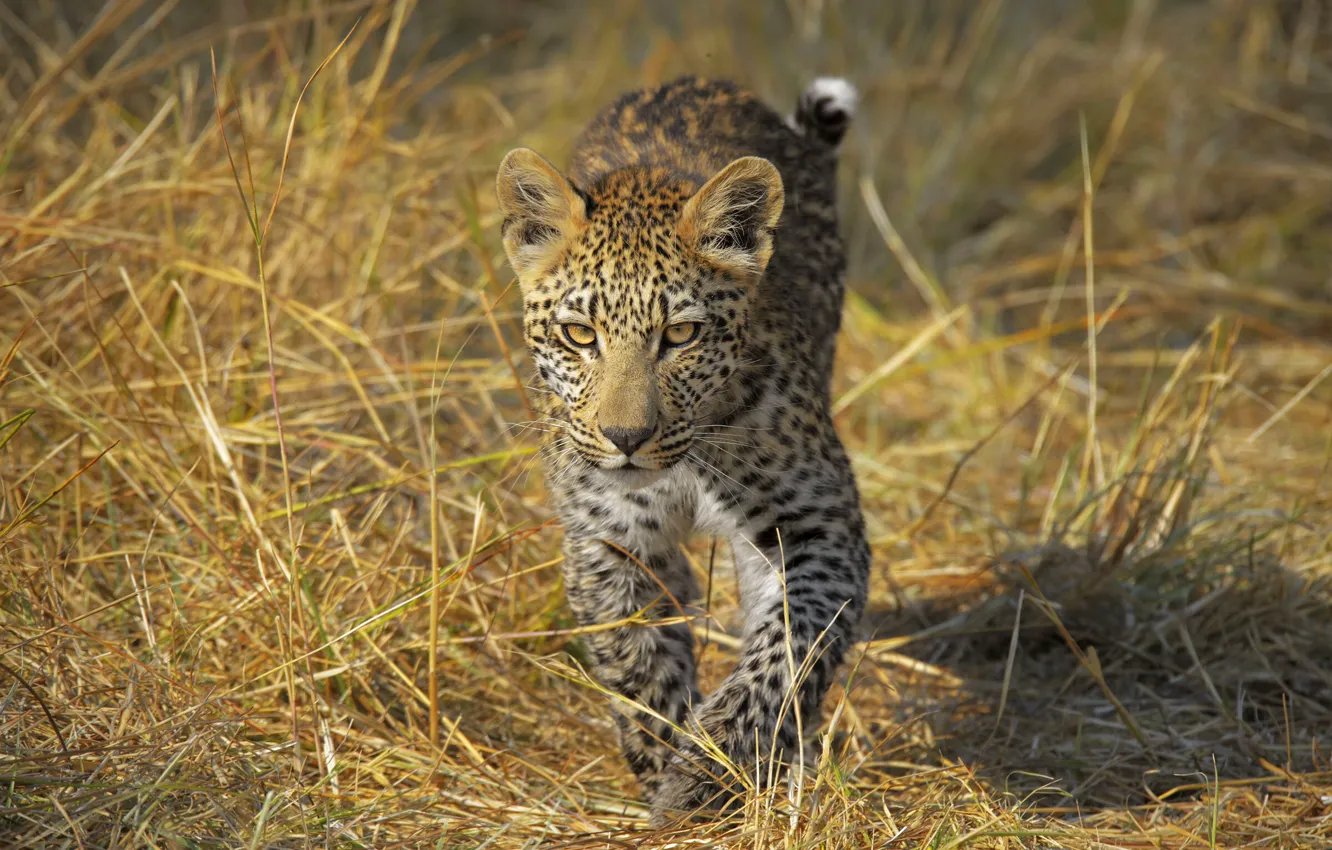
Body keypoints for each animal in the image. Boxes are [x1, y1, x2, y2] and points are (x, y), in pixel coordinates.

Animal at [495, 75, 869, 826]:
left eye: (681, 335)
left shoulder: (820, 526)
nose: (626, 439)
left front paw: (706, 771)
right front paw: (666, 765)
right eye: (580, 335)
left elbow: (785, 658)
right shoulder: (610, 542)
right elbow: (636, 663)